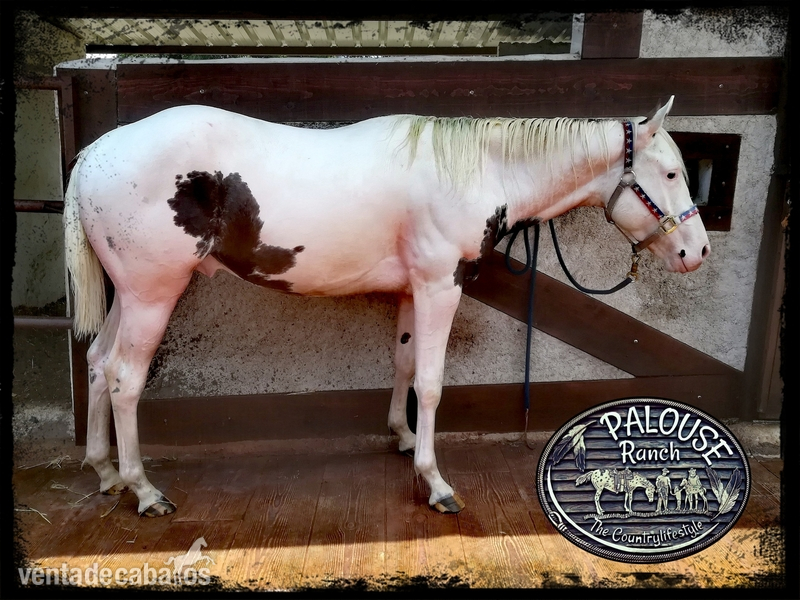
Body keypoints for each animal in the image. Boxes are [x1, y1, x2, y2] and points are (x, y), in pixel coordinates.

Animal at [63, 96, 710, 517]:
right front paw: (436, 483)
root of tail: (93, 154)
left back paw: (104, 472)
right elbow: (431, 380)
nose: (697, 252)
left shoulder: (411, 289)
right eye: (671, 173)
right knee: (124, 379)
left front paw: (401, 438)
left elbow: (404, 366)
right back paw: (143, 490)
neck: (477, 167)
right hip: (154, 295)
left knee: (97, 363)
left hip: (131, 296)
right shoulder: (440, 285)